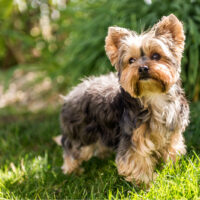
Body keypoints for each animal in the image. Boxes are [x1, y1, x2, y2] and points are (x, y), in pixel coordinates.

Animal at [56, 14, 189, 185]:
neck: (153, 96)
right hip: (80, 132)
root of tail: (70, 94)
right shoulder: (132, 137)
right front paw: (147, 183)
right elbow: (137, 161)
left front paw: (171, 169)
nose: (143, 68)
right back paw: (72, 170)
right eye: (131, 60)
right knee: (71, 147)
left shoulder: (171, 133)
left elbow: (171, 150)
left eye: (156, 56)